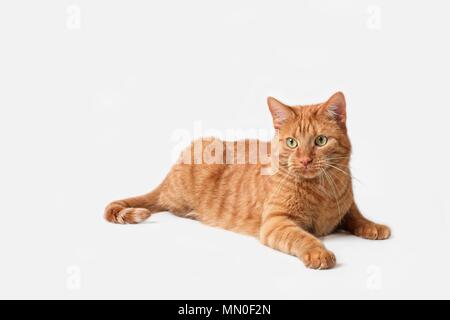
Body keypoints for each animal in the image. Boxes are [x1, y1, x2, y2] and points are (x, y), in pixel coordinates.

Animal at [104, 91, 390, 268]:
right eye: (292, 142)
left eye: (320, 141)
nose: (305, 160)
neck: (322, 190)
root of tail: (167, 175)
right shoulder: (277, 223)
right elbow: (304, 238)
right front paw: (319, 252)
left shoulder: (346, 207)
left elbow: (356, 216)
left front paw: (373, 226)